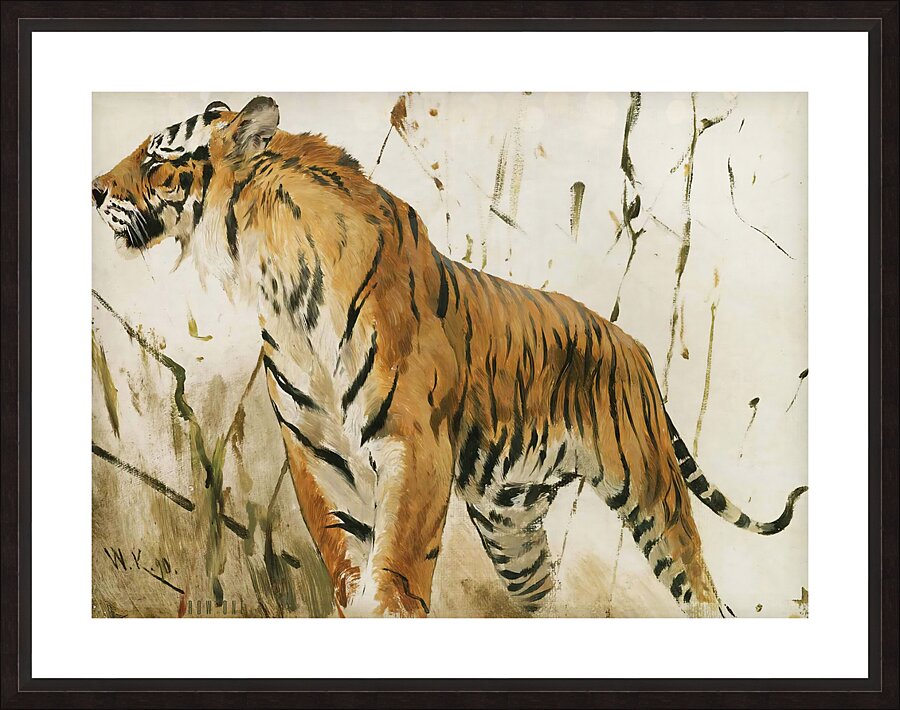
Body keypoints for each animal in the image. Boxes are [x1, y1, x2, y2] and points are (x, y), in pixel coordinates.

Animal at [92, 96, 807, 618]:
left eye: (156, 157)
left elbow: (396, 571)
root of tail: (633, 347)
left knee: (705, 594)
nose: (94, 189)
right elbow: (346, 561)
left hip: (650, 490)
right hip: (512, 522)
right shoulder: (315, 452)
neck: (280, 287)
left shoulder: (414, 447)